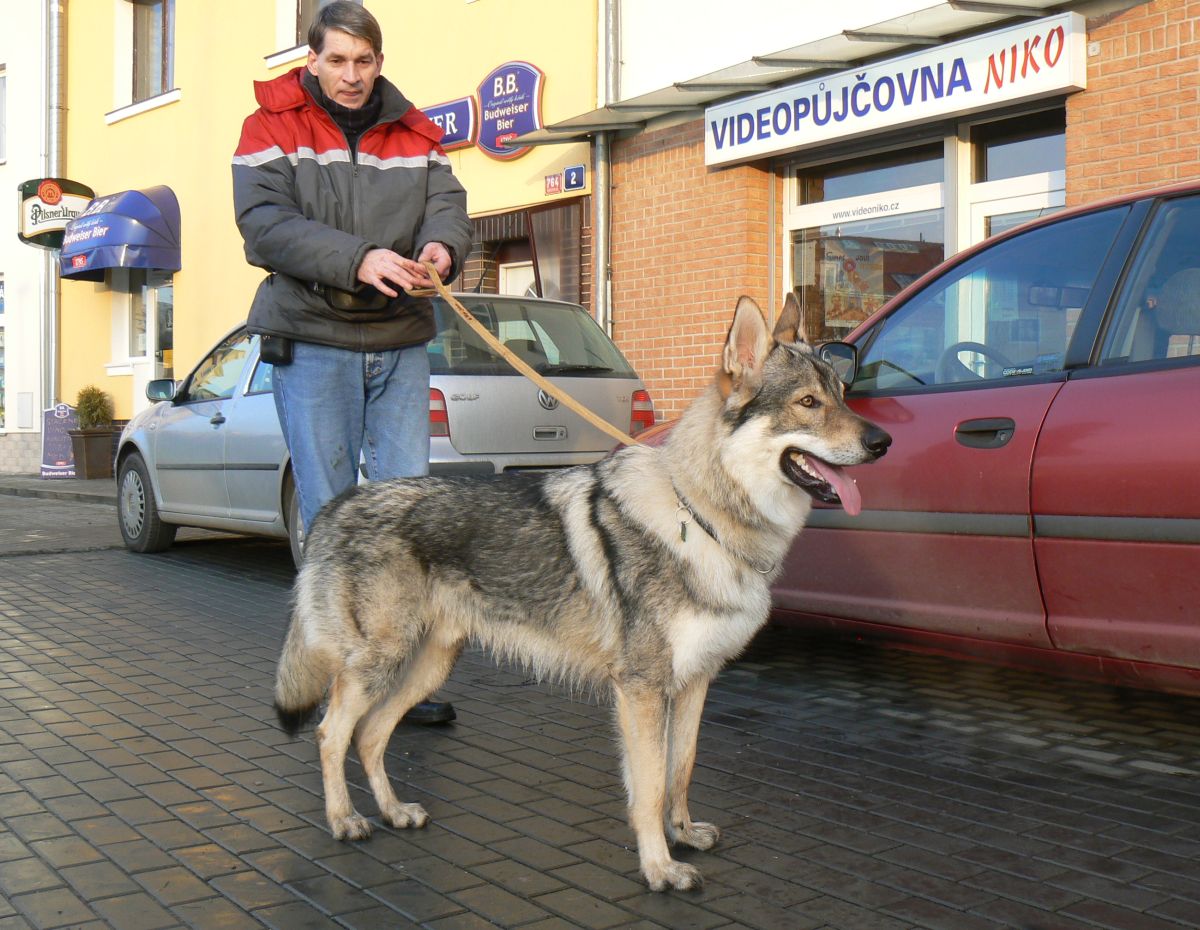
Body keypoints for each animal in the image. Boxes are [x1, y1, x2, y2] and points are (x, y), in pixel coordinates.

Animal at [274, 295, 892, 892]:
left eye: (843, 396)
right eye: (808, 403)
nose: (881, 441)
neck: (700, 516)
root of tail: (335, 507)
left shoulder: (695, 683)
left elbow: (682, 769)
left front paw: (683, 833)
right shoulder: (641, 689)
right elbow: (649, 787)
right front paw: (659, 868)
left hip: (427, 667)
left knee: (370, 735)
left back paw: (395, 811)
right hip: (377, 664)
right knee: (330, 733)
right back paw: (345, 820)